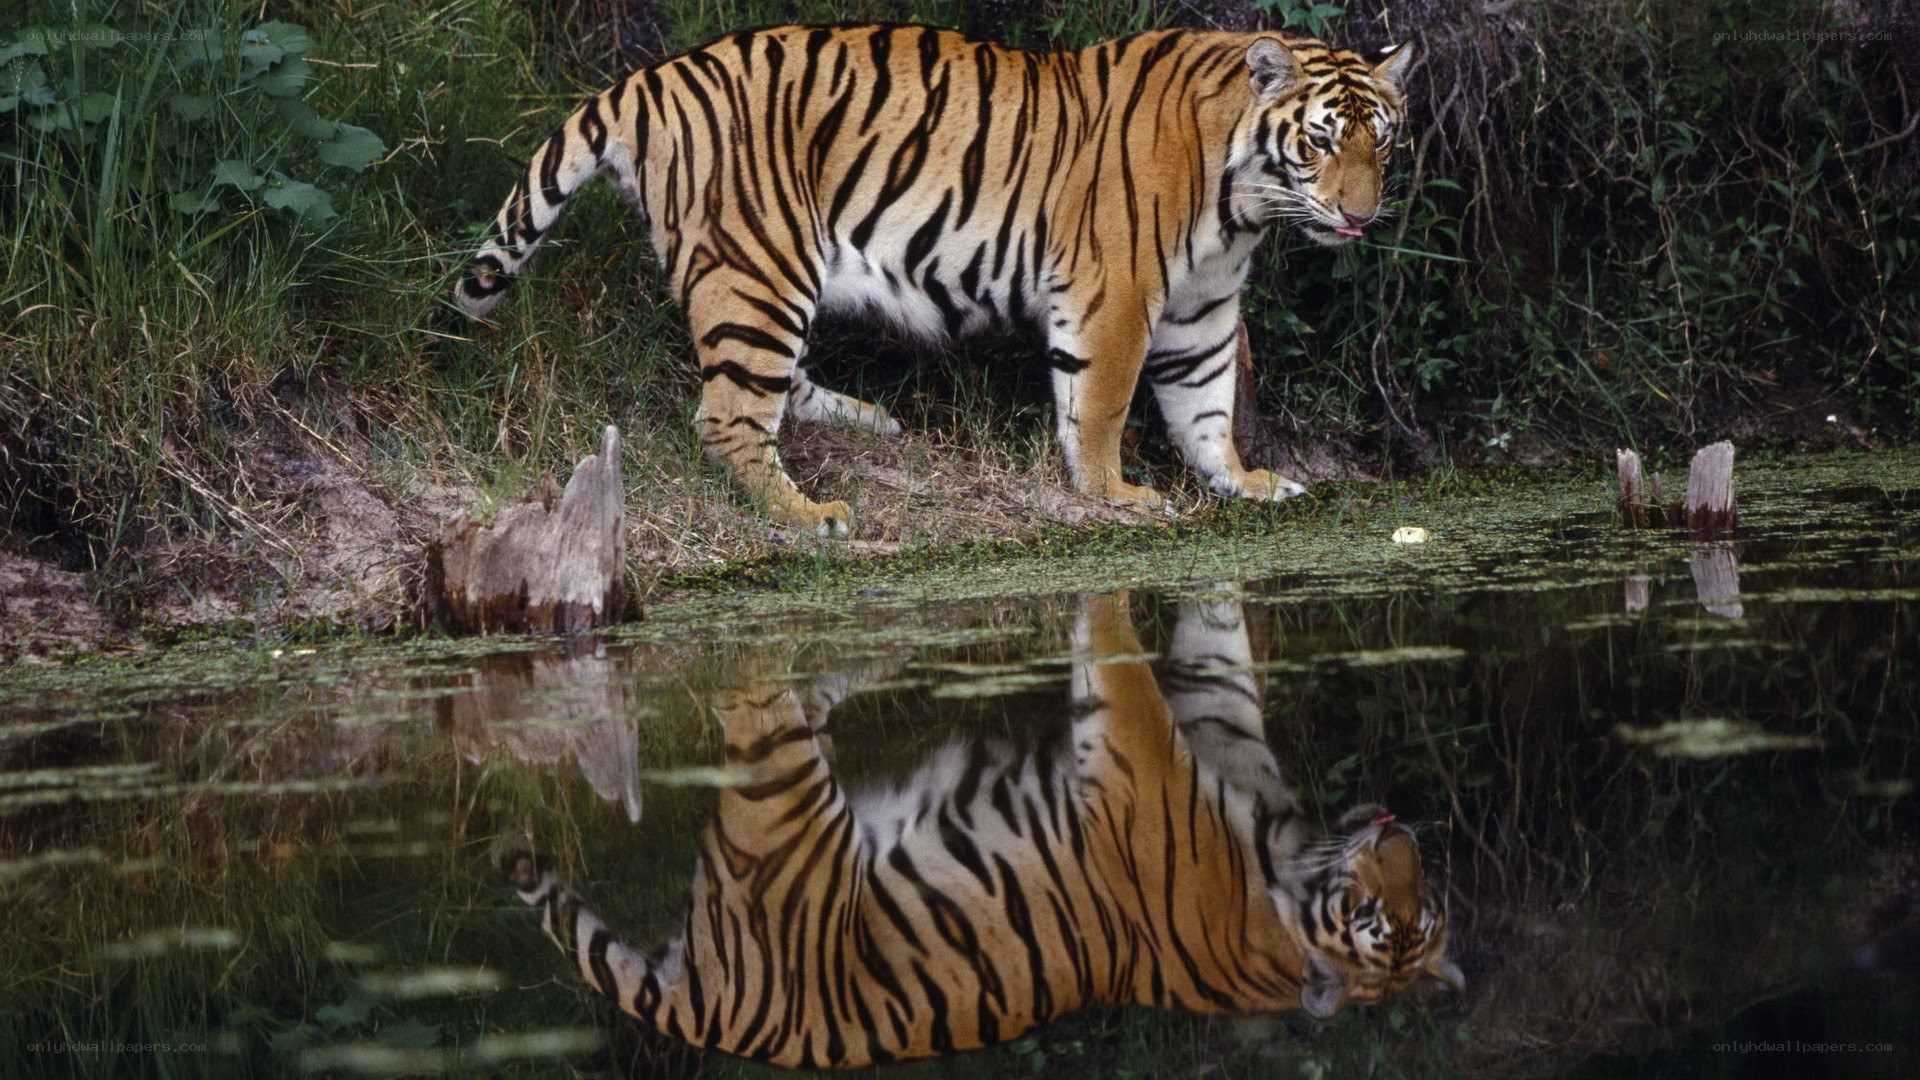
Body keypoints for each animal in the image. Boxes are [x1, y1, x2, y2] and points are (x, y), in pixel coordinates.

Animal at [455, 24, 1415, 535]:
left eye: (1383, 140)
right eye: (1322, 141)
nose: (1362, 216)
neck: (1241, 202)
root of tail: (651, 80)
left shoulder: (1204, 307)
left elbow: (1207, 405)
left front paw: (1245, 482)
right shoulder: (1115, 293)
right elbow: (1102, 403)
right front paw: (1116, 495)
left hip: (765, 279)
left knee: (773, 385)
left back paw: (868, 420)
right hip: (759, 264)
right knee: (727, 416)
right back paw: (809, 516)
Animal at [496, 590, 1463, 1068]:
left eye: (1410, 912)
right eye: (1382, 915)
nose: (1401, 832)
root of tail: (721, 1019)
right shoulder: (1171, 752)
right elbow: (1171, 665)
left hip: (777, 802)